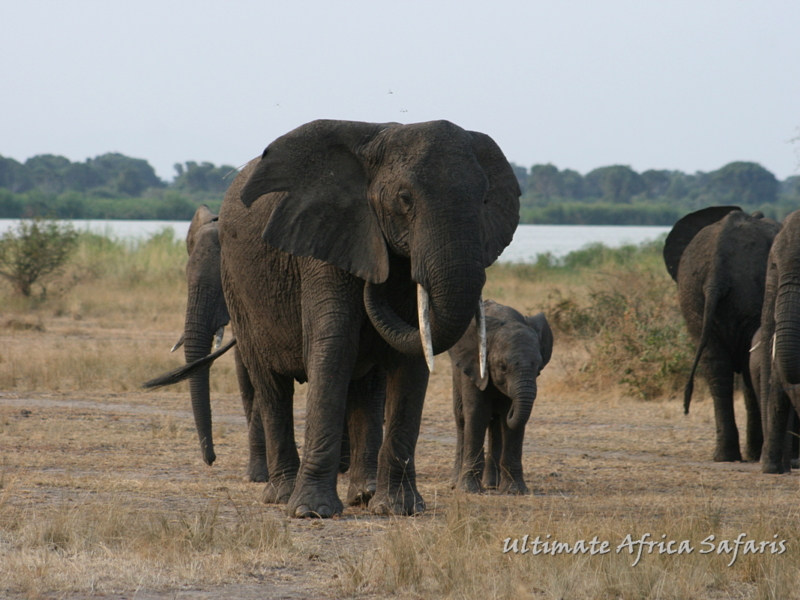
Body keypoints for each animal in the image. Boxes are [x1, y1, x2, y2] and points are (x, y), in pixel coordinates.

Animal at [200, 120, 520, 516]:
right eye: (404, 198)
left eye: (484, 199)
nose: (376, 280)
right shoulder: (323, 241)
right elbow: (335, 346)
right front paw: (312, 511)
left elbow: (412, 358)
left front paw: (400, 508)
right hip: (238, 288)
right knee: (272, 385)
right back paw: (282, 495)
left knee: (366, 389)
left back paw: (363, 494)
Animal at [664, 204, 780, 462]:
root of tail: (716, 273)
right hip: (748, 294)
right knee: (742, 366)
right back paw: (748, 454)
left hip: (693, 295)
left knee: (715, 367)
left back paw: (727, 456)